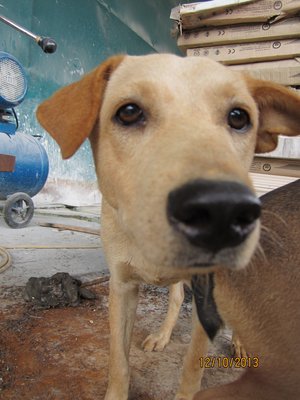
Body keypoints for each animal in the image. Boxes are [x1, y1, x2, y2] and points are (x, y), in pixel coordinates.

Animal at [36, 54, 298, 400]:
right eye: (129, 112)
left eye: (239, 117)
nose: (223, 210)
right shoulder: (121, 287)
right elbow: (119, 361)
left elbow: (192, 367)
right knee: (174, 298)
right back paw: (163, 334)